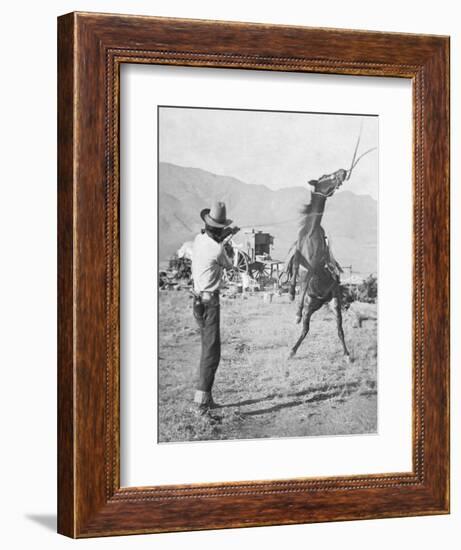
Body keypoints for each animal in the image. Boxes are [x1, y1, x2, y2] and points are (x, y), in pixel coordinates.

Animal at [288, 171, 348, 362]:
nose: (342, 172)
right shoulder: (299, 256)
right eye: (325, 177)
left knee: (339, 329)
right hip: (311, 306)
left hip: (335, 303)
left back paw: (347, 354)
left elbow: (305, 281)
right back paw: (292, 350)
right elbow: (294, 269)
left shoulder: (314, 265)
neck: (310, 232)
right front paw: (291, 294)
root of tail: (323, 300)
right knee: (306, 329)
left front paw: (296, 313)